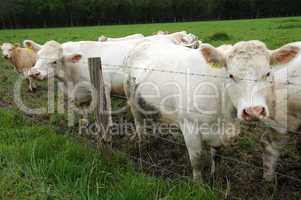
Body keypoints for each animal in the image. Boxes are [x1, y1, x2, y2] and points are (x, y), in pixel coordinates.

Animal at [123, 40, 298, 181]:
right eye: (231, 75)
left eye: (267, 73)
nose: (253, 111)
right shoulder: (190, 127)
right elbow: (196, 159)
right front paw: (198, 183)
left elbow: (217, 155)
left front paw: (215, 176)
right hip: (132, 98)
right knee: (138, 122)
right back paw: (142, 144)